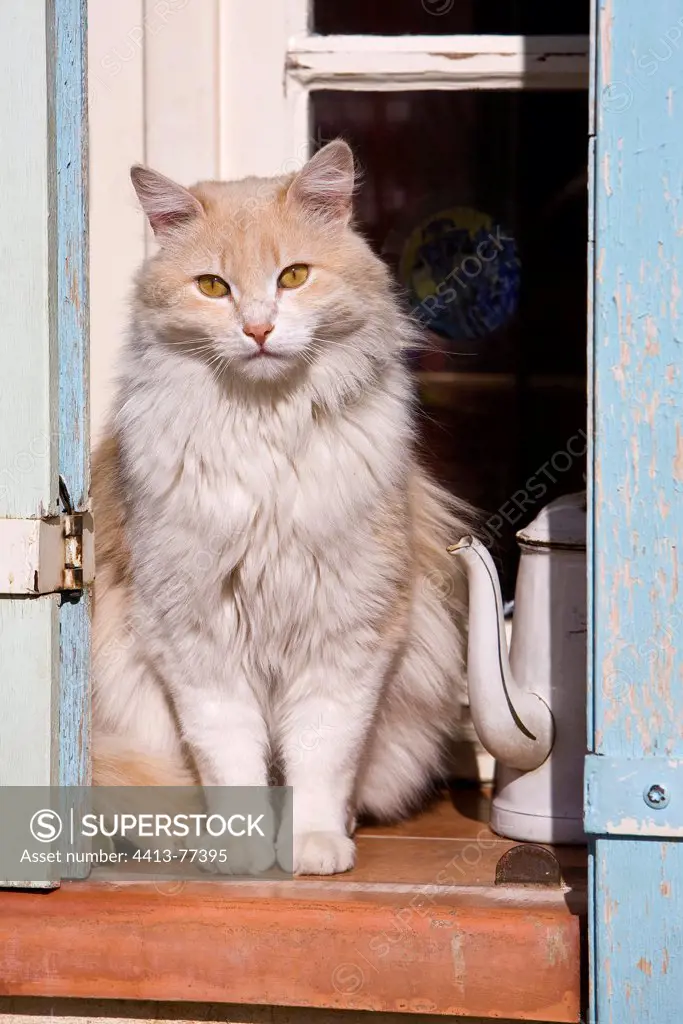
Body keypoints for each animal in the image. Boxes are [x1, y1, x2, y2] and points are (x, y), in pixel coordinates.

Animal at [92, 134, 475, 872]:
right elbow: (232, 757)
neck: (267, 433)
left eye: (293, 276)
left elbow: (321, 759)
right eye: (213, 287)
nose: (259, 330)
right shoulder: (196, 639)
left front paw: (314, 846)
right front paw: (244, 851)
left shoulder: (349, 632)